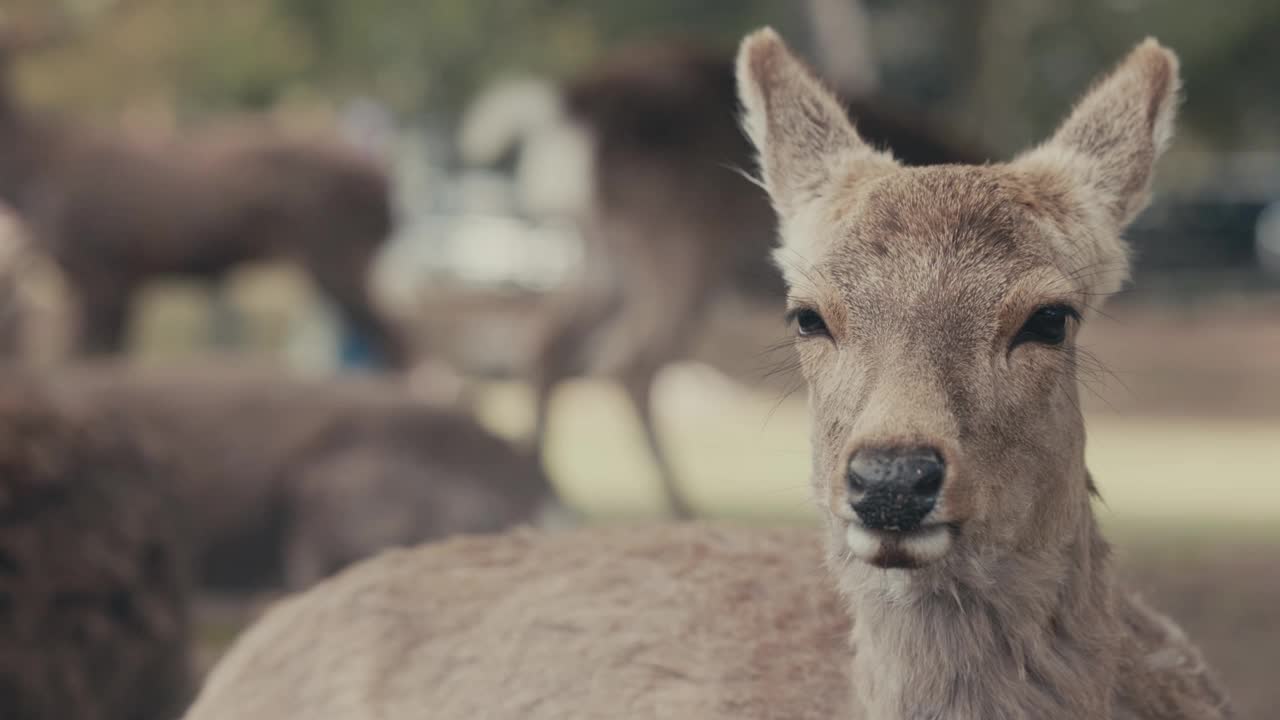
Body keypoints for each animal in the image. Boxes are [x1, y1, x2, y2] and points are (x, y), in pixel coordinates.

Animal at [0, 11, 409, 366]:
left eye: (8, 47)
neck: (34, 173)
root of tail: (388, 188)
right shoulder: (115, 278)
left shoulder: (103, 267)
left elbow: (92, 358)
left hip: (335, 252)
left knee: (394, 334)